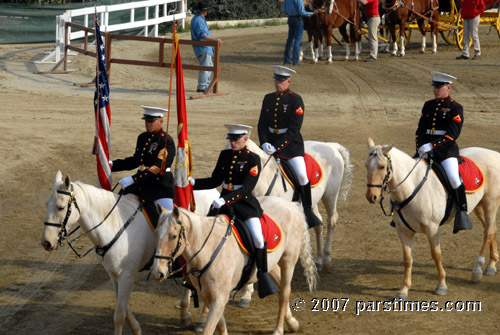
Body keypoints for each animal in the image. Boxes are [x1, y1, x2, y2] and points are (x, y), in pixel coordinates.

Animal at [39, 172, 219, 334]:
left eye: (61, 207)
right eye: (46, 204)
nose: (46, 243)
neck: (114, 226)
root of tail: (214, 193)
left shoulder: (127, 275)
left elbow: (119, 315)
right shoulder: (114, 275)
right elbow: (123, 308)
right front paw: (136, 329)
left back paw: (201, 319)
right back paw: (185, 315)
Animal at [151, 197, 316, 335]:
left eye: (173, 236)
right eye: (156, 233)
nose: (157, 273)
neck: (208, 249)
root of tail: (291, 204)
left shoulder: (219, 298)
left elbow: (210, 329)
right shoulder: (209, 296)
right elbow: (221, 325)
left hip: (289, 260)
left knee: (284, 292)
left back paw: (278, 329)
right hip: (270, 263)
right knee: (280, 284)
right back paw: (292, 323)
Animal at [364, 138, 500, 300]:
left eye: (382, 166)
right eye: (366, 165)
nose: (371, 196)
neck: (411, 187)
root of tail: (495, 154)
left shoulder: (432, 228)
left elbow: (436, 255)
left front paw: (441, 285)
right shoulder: (403, 231)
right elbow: (407, 259)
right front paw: (403, 290)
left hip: (490, 203)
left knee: (488, 232)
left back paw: (477, 271)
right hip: (478, 206)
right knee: (491, 229)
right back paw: (491, 265)